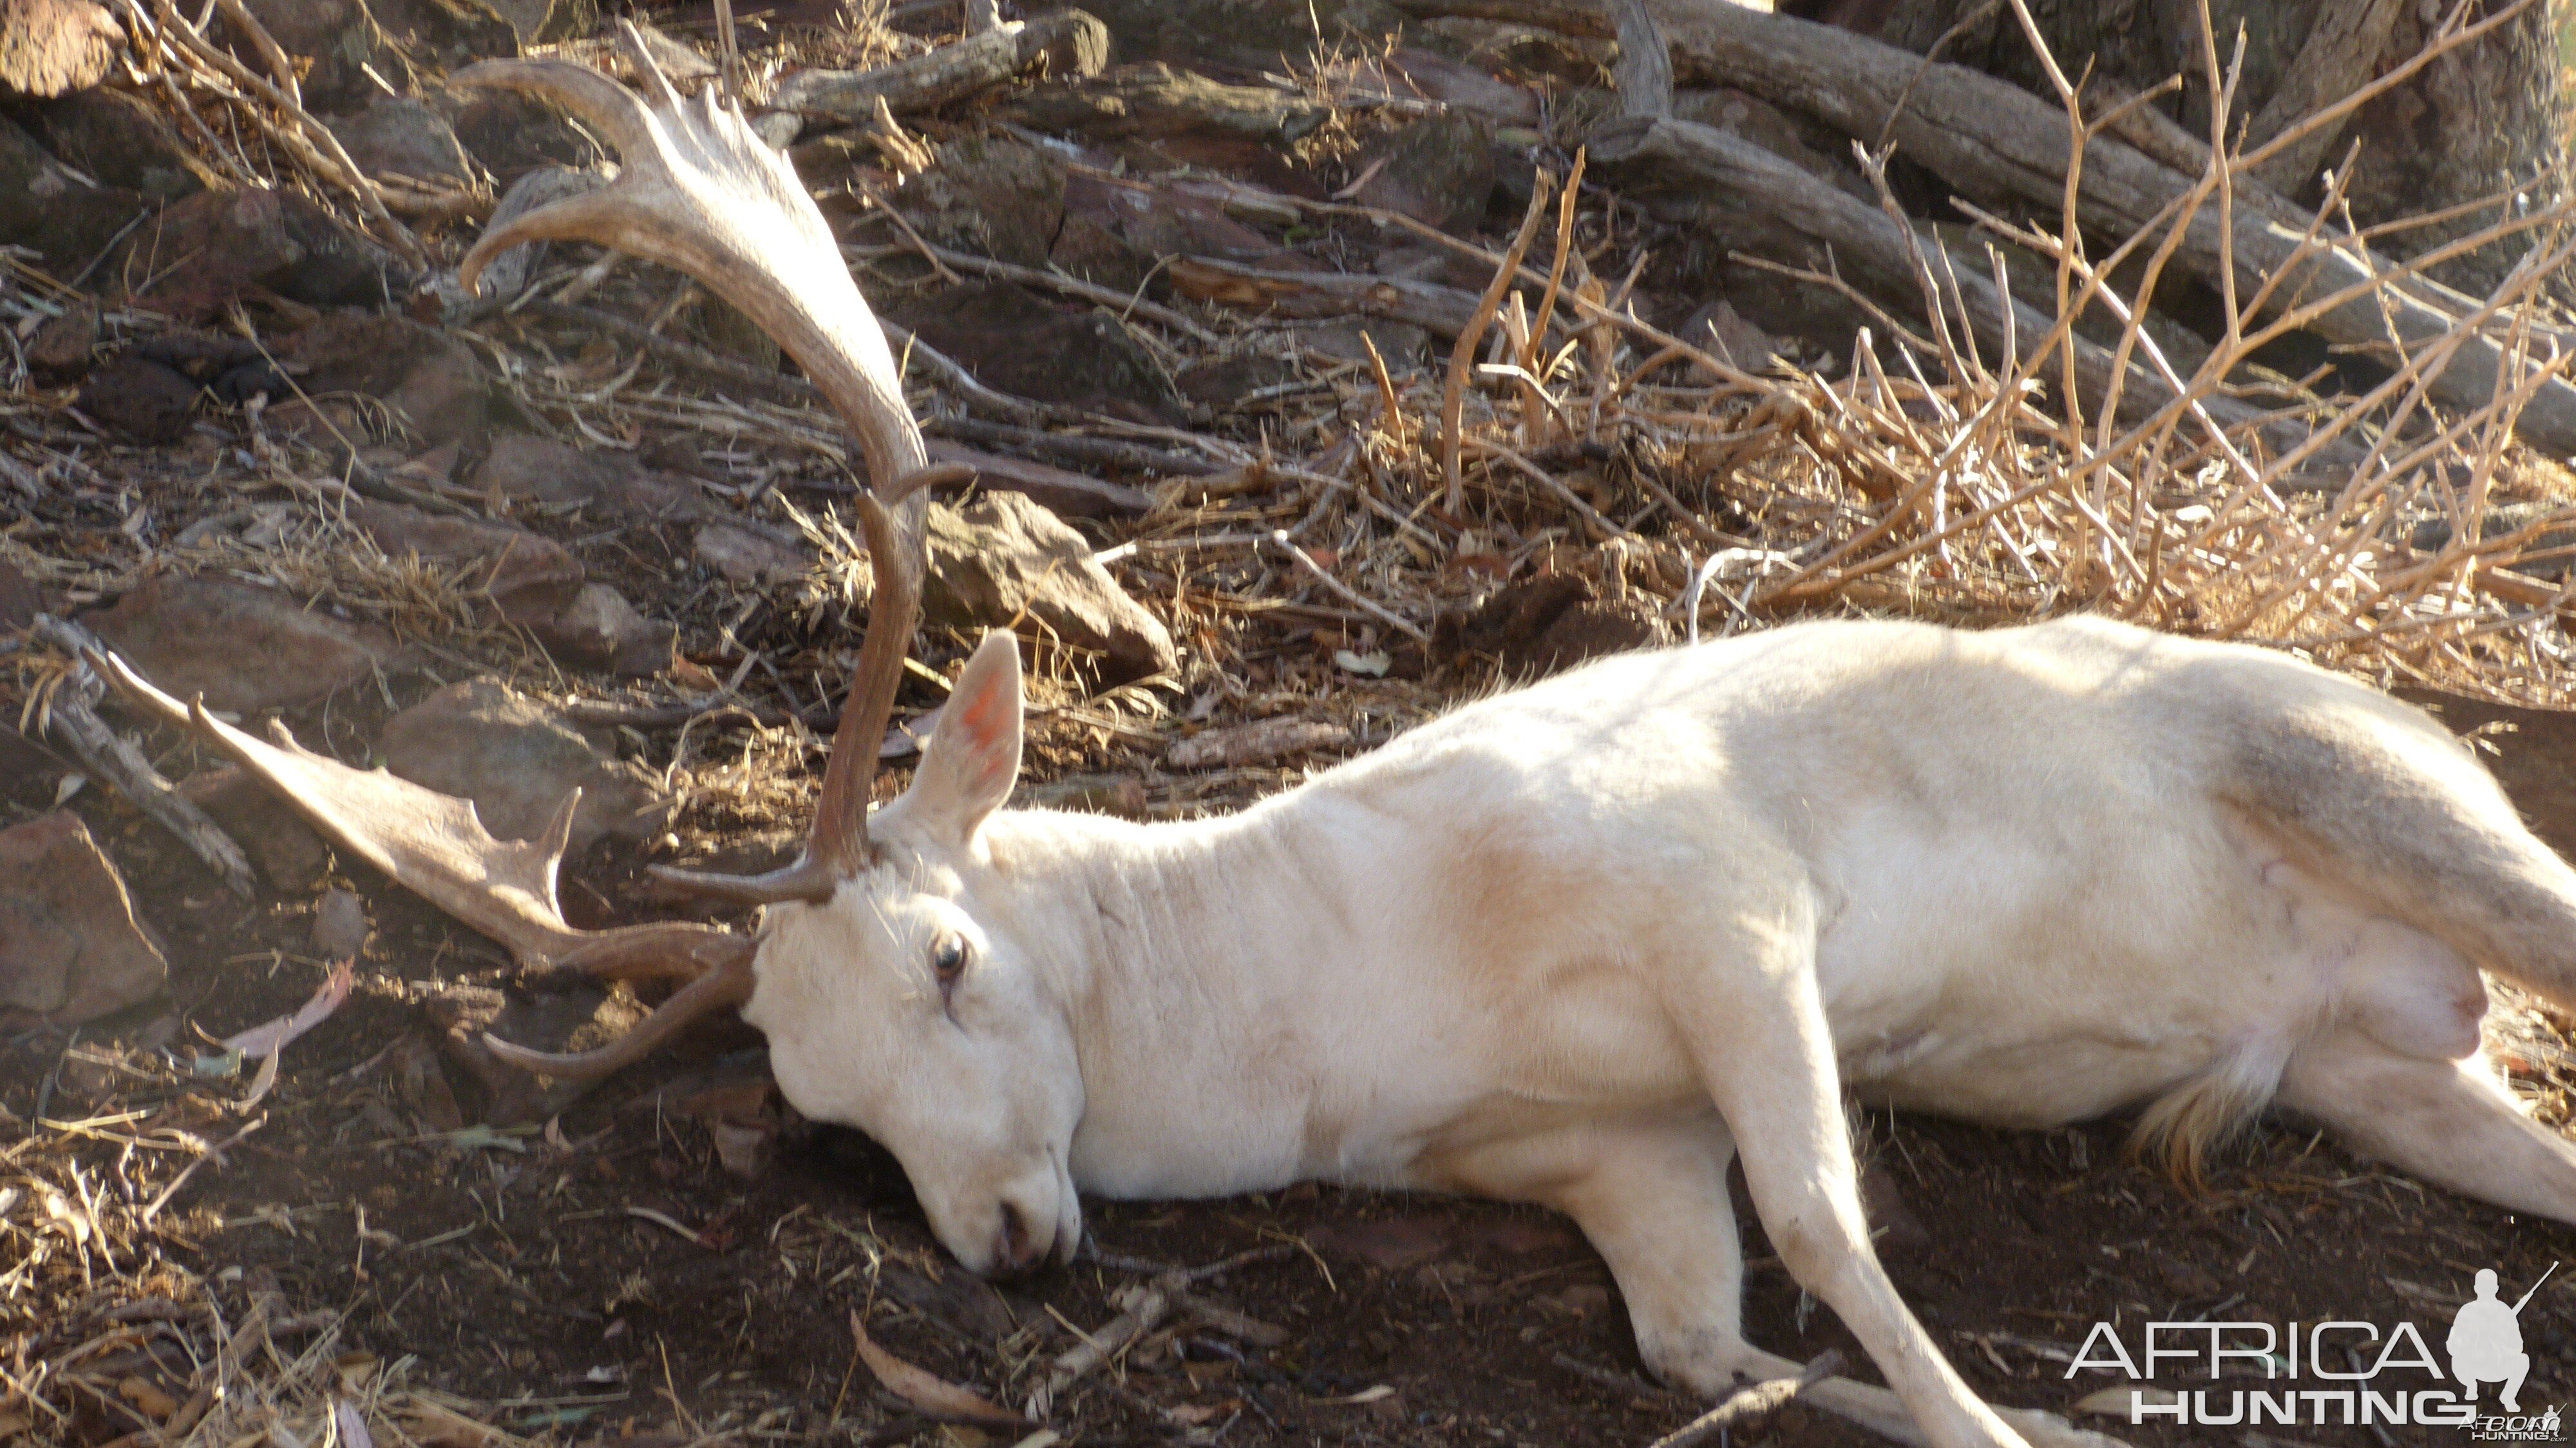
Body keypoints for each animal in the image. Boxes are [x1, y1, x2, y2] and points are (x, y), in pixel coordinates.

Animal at [95, 31, 2576, 1443]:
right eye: (815, 1109)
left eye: (948, 962)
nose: (1009, 1238)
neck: (1366, 1008)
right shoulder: (1600, 1149)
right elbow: (1712, 1342)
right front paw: (1997, 1417)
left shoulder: (1721, 894)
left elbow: (1831, 1216)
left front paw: (2006, 1421)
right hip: (2378, 1072)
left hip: (2388, 792)